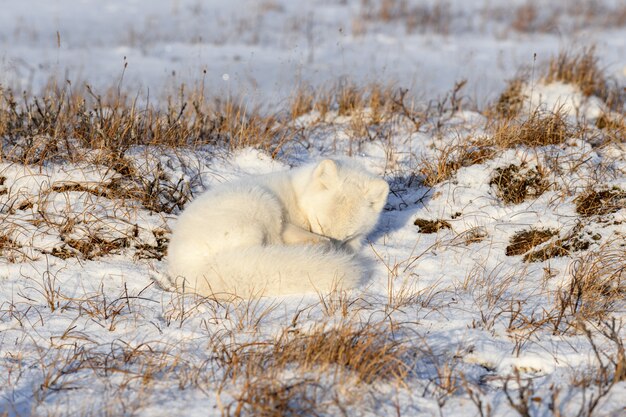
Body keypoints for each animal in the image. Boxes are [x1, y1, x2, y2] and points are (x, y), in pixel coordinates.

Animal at [165, 158, 390, 298]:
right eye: (318, 223)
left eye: (346, 236)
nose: (336, 251)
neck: (297, 195)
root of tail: (193, 268)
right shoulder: (287, 225)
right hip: (263, 205)